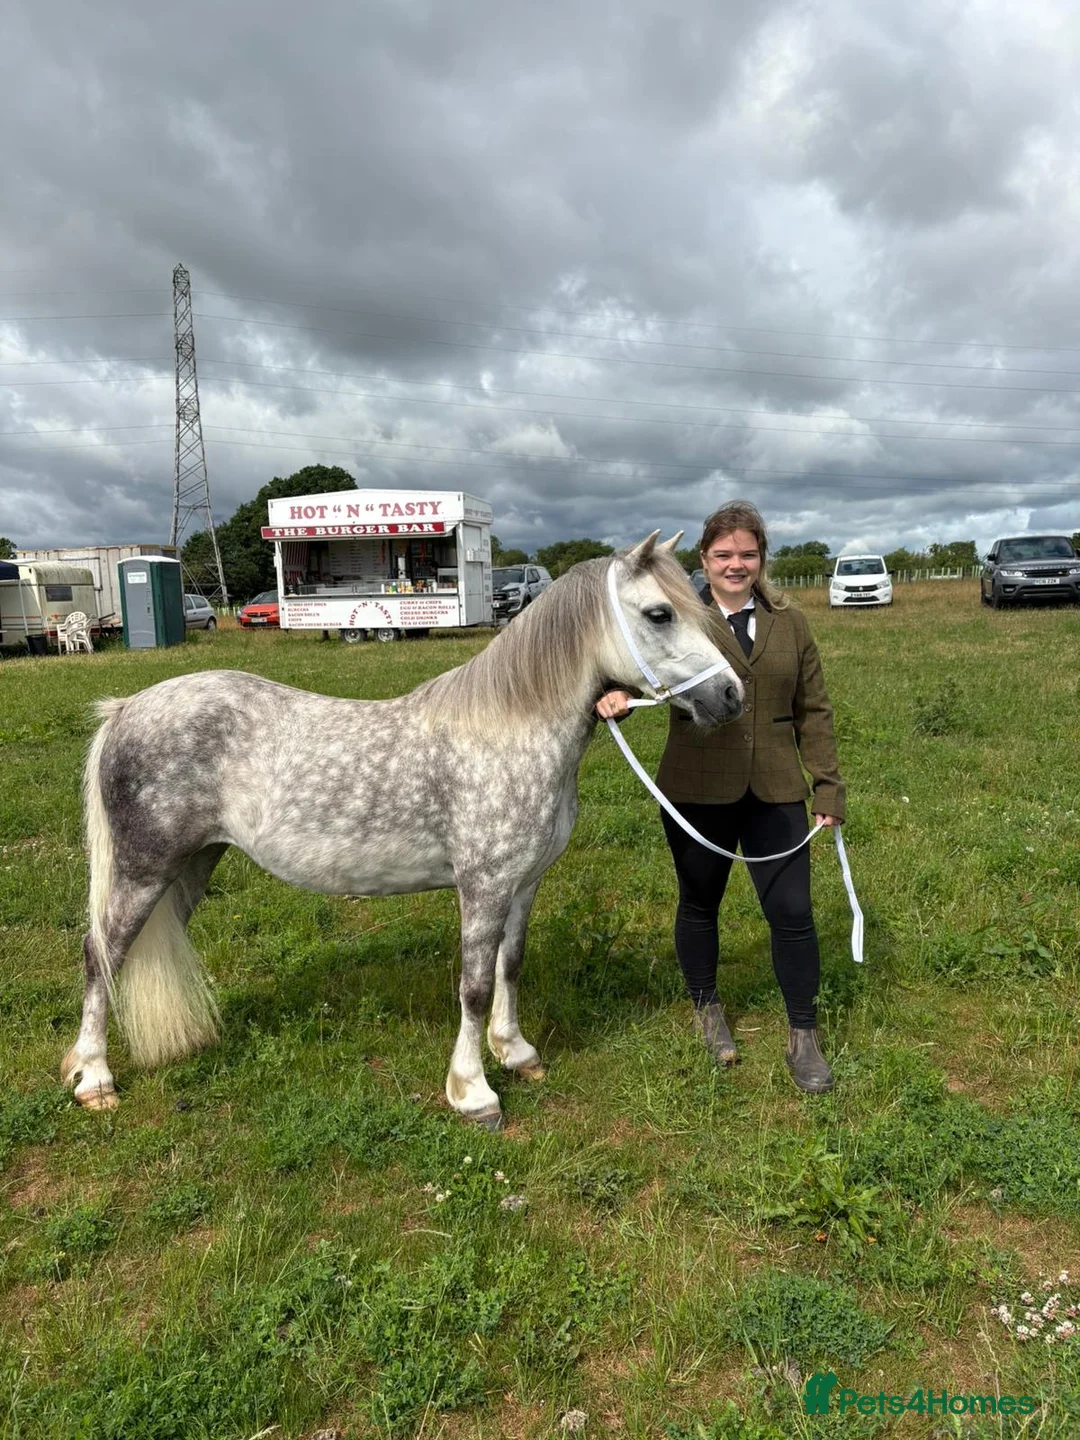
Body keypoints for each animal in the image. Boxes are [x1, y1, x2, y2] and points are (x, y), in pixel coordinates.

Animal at [61, 533, 744, 1129]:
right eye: (659, 614)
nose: (732, 697)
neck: (510, 729)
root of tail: (124, 710)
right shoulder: (483, 887)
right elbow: (474, 986)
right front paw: (473, 1091)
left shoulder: (522, 885)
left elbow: (510, 967)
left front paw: (515, 1052)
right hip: (143, 868)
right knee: (103, 953)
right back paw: (94, 1078)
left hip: (193, 864)